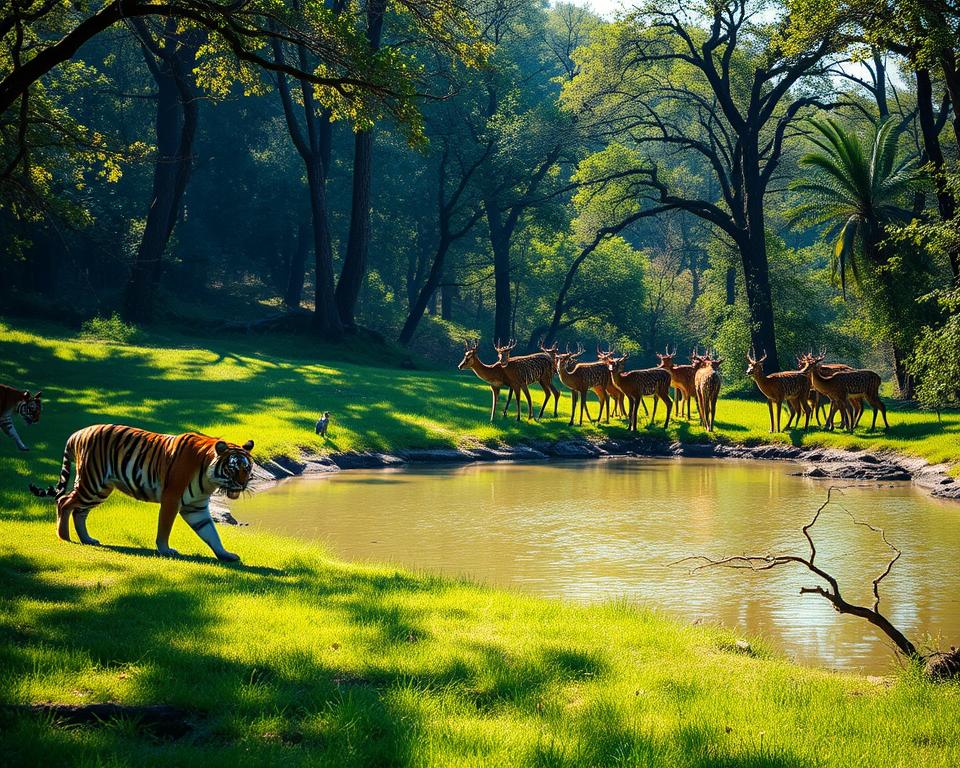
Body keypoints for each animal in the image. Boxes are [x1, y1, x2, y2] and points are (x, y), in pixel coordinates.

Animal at [29, 424, 255, 562]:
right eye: (233, 468)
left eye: (247, 468)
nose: (242, 484)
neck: (210, 480)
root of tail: (77, 433)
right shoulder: (171, 498)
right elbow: (164, 527)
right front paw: (165, 550)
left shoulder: (196, 507)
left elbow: (211, 533)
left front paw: (225, 554)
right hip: (92, 483)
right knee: (64, 501)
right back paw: (64, 536)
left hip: (100, 489)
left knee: (79, 511)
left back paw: (87, 539)